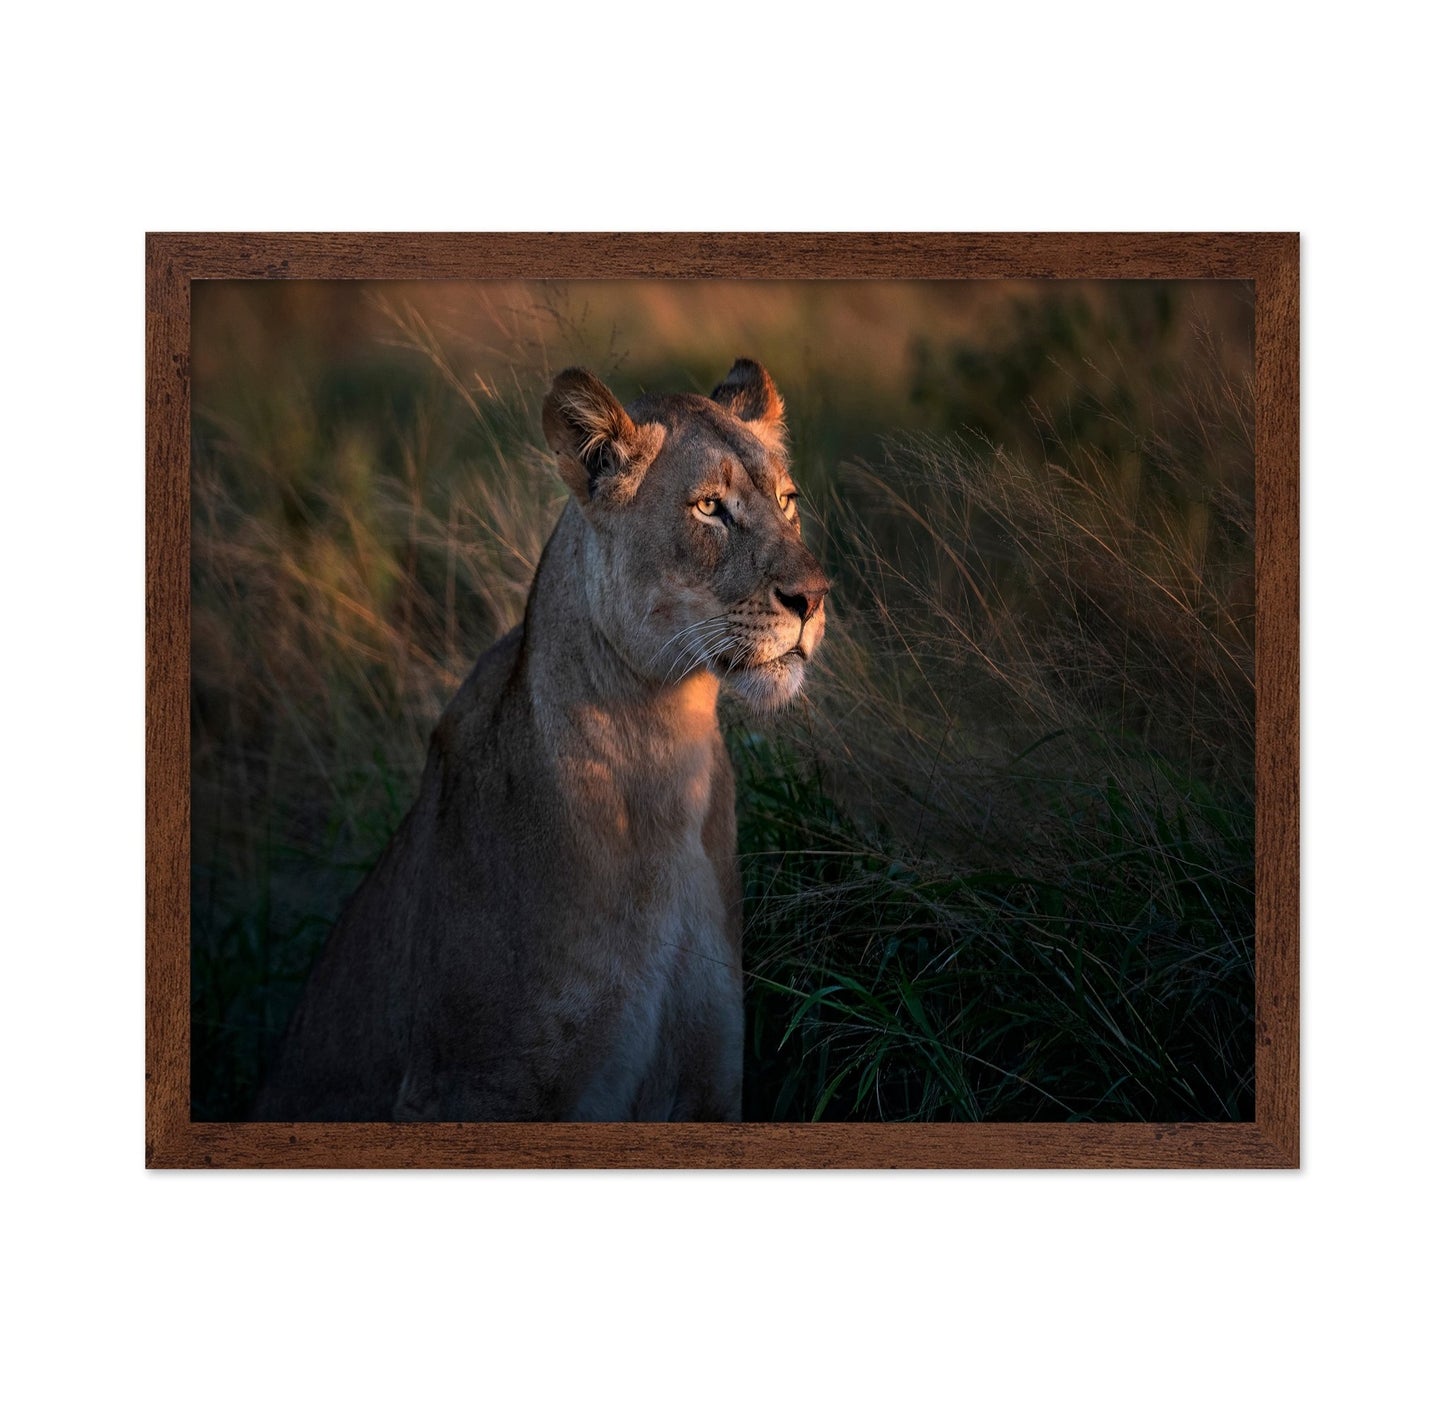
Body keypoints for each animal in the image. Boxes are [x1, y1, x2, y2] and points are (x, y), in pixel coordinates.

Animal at [253, 358, 829, 1122]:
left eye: (788, 501)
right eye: (709, 508)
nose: (814, 597)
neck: (665, 746)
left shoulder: (709, 1076)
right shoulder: (477, 1088)